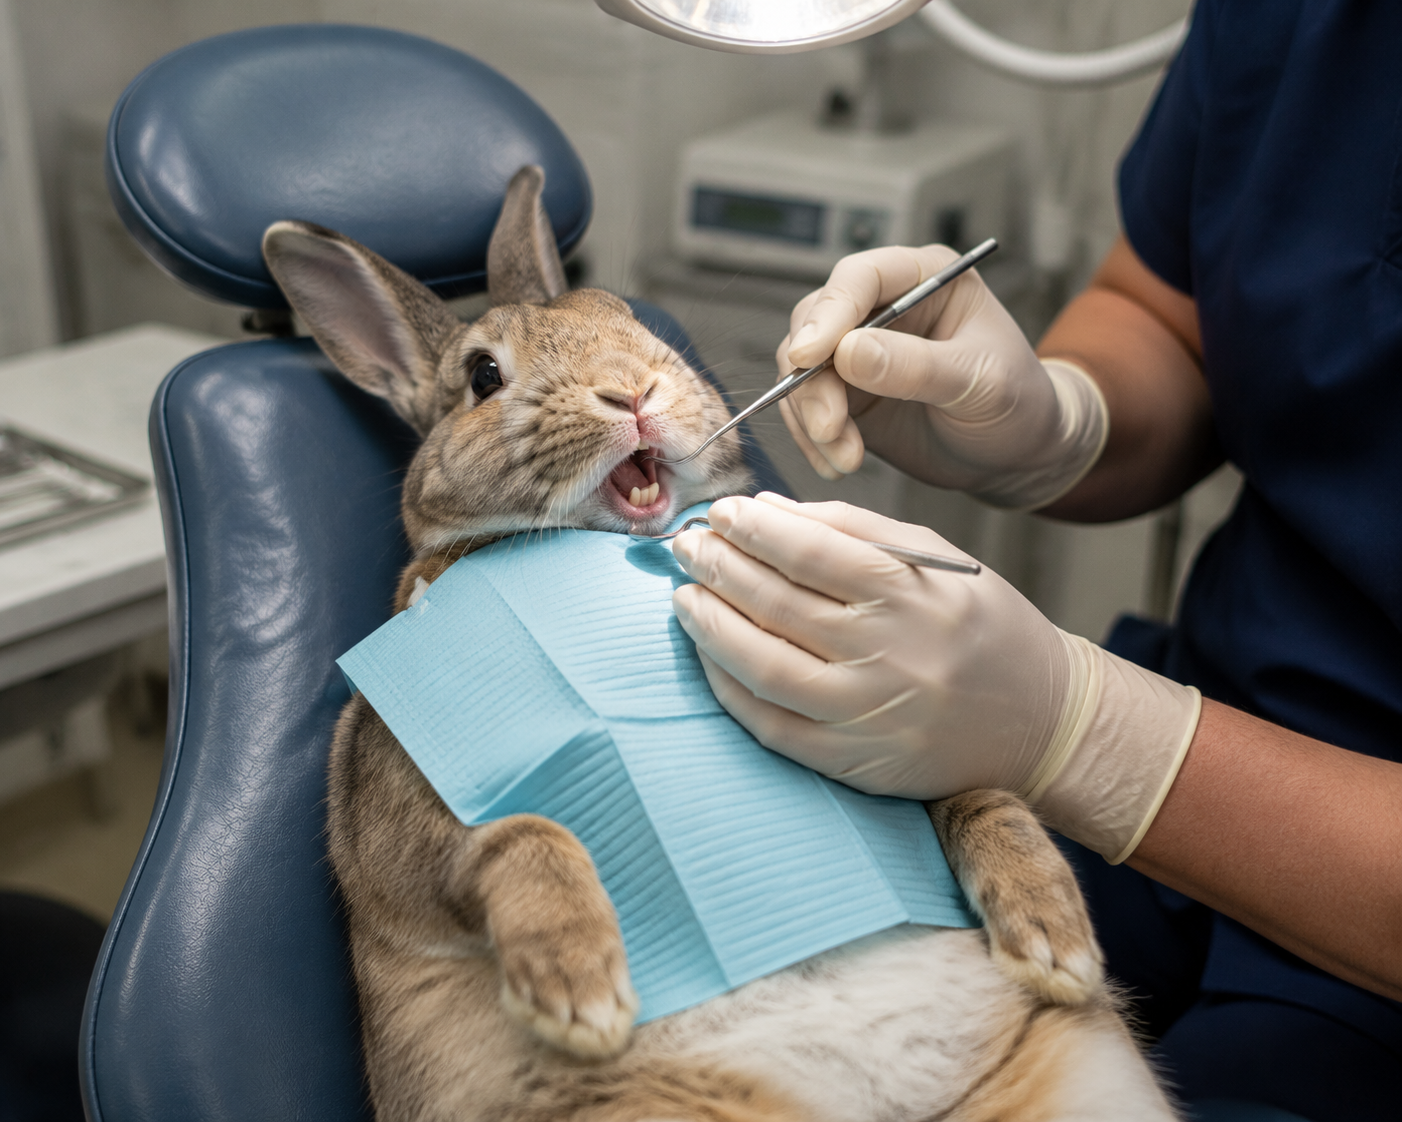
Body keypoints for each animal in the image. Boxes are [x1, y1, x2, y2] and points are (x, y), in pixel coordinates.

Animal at [263, 165, 1180, 1122]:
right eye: (482, 376)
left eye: (628, 320)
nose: (633, 391)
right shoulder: (395, 811)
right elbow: (514, 832)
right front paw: (580, 996)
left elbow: (977, 791)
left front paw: (1056, 940)